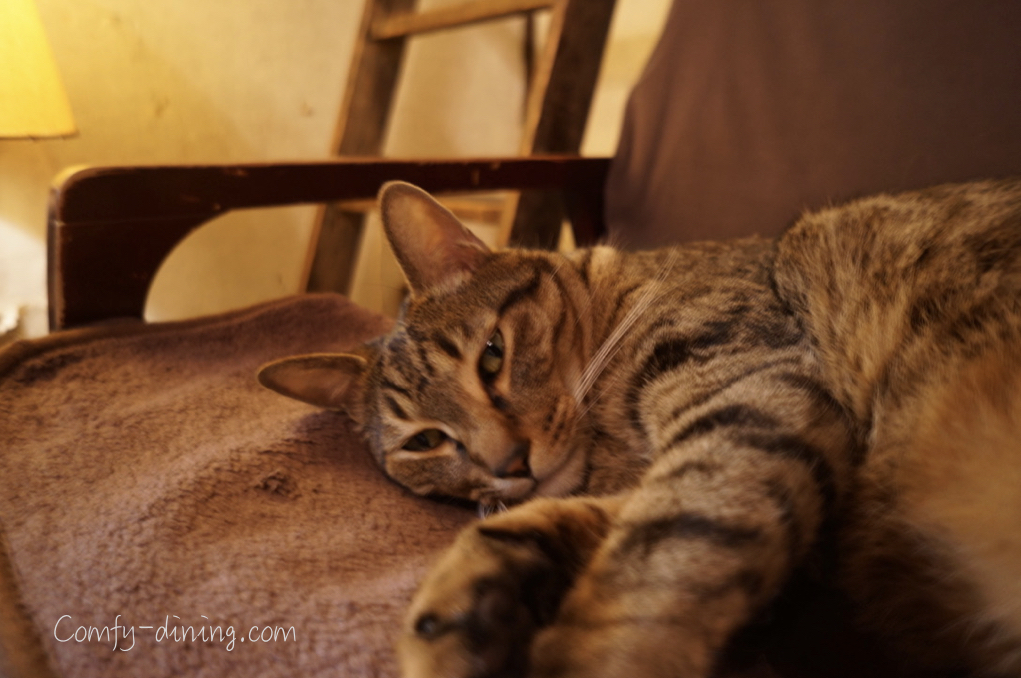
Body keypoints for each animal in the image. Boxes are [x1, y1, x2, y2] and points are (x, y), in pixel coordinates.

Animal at [261, 178, 1021, 678]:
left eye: (492, 357)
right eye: (425, 441)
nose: (509, 463)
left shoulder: (756, 398)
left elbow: (661, 555)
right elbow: (586, 522)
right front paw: (465, 605)